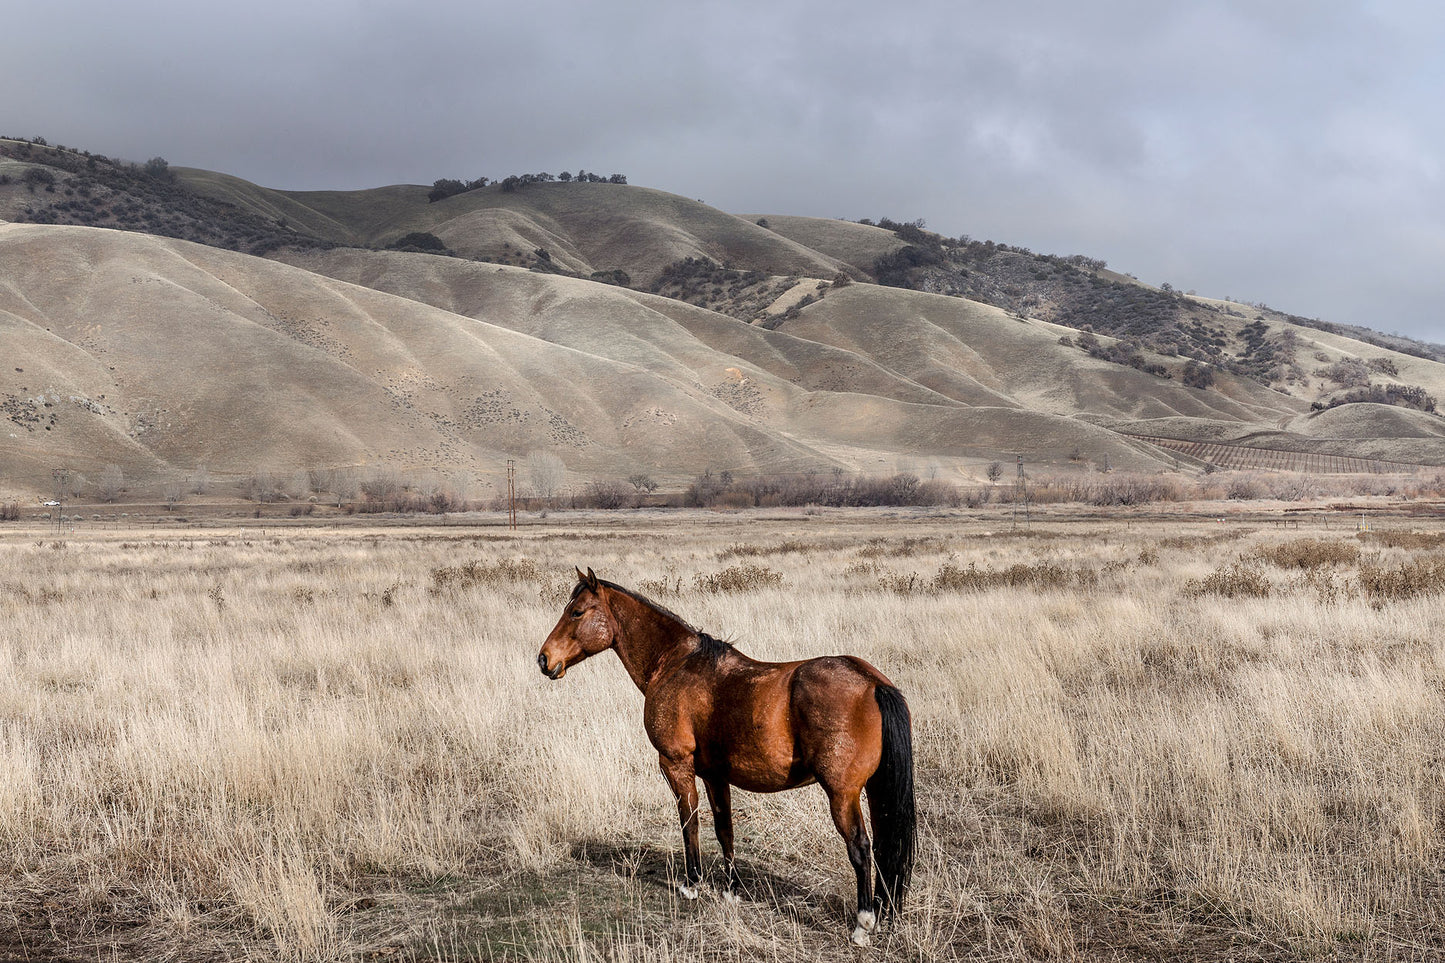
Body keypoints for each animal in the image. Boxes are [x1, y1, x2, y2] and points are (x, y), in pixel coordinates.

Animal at [543, 566, 913, 942]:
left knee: (861, 849)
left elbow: (689, 821)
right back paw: (883, 911)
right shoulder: (714, 775)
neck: (675, 664)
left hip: (842, 795)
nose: (544, 659)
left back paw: (863, 923)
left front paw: (692, 884)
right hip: (872, 791)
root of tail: (873, 683)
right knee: (884, 846)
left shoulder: (676, 764)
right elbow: (725, 829)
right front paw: (731, 890)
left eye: (577, 612)